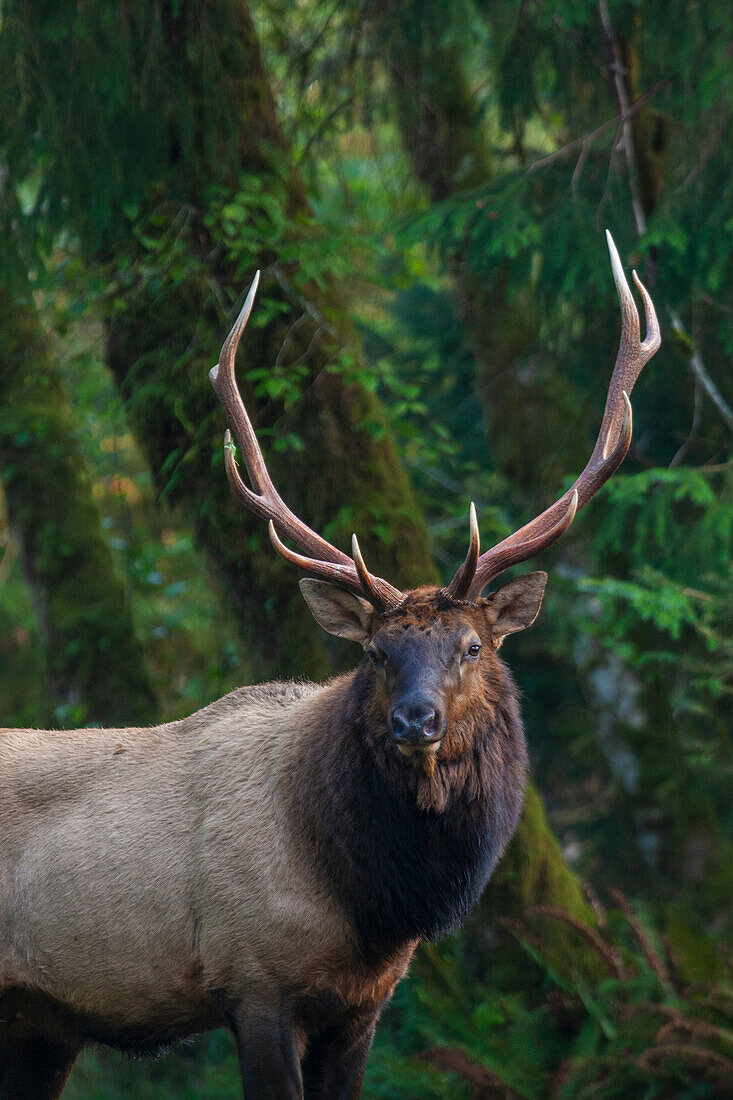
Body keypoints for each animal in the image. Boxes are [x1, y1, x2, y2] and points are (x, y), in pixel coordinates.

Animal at [0, 234, 660, 1100]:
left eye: (472, 646)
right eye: (375, 652)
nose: (415, 719)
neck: (367, 903)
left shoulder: (362, 1004)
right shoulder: (252, 979)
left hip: (40, 1023)